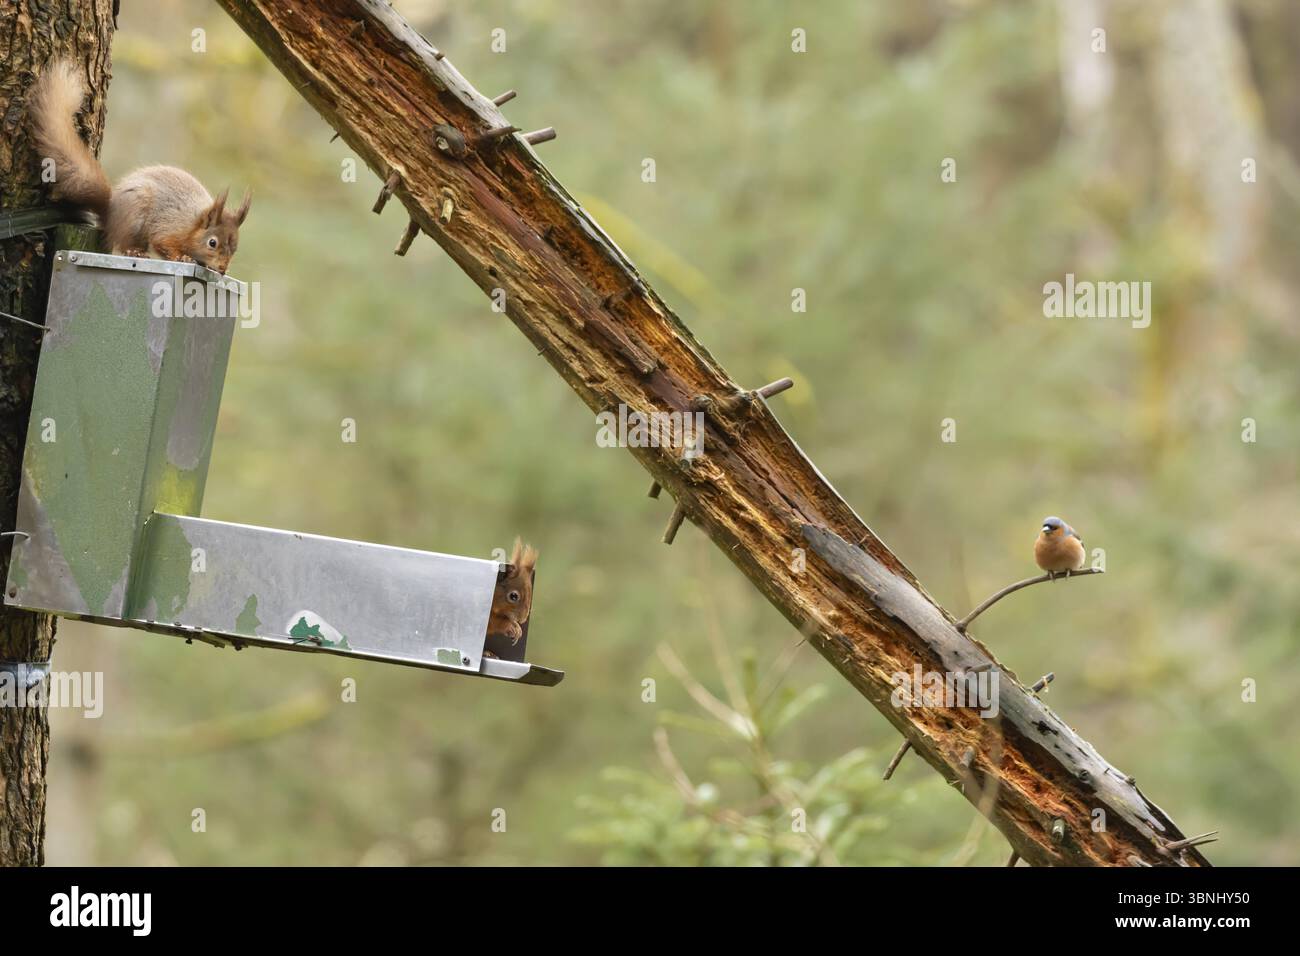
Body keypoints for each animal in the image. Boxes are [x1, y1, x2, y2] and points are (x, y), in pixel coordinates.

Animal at [29, 59, 251, 276]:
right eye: (212, 242)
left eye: (235, 247)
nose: (222, 269)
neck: (192, 225)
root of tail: (111, 212)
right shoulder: (169, 228)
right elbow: (163, 244)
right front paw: (183, 257)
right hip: (135, 215)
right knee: (125, 242)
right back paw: (135, 251)